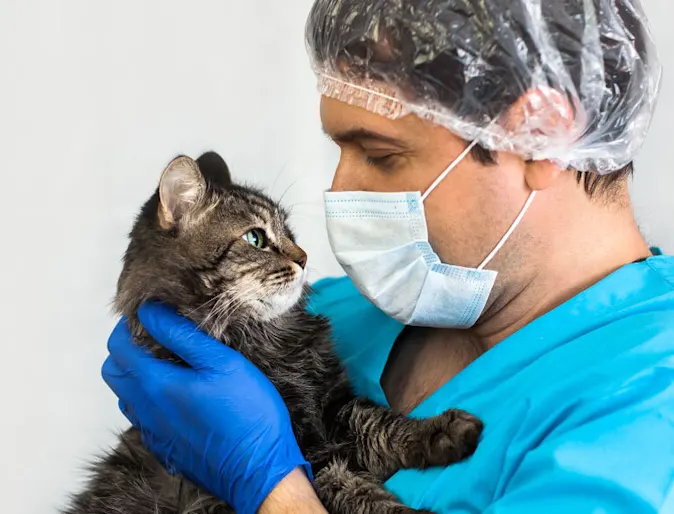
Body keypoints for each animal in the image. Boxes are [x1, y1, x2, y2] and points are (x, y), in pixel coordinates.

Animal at [65, 152, 480, 512]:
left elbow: (383, 426)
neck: (269, 340)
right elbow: (352, 489)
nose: (304, 258)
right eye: (255, 239)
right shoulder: (308, 454)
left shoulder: (333, 407)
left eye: (289, 232)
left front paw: (440, 432)